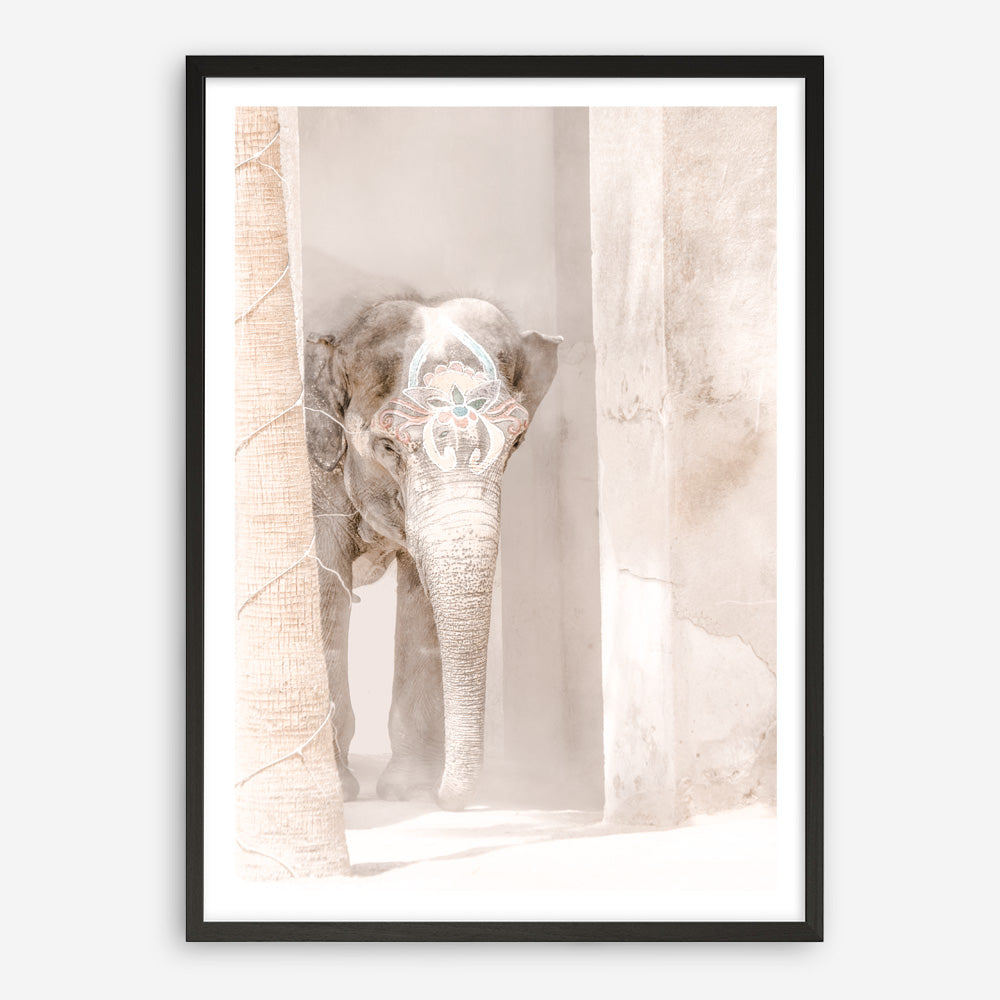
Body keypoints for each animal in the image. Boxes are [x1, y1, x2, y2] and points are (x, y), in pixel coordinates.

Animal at [304, 295, 560, 810]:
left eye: (517, 441)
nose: (448, 802)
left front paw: (410, 791)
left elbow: (421, 596)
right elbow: (325, 587)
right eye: (386, 445)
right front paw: (339, 794)